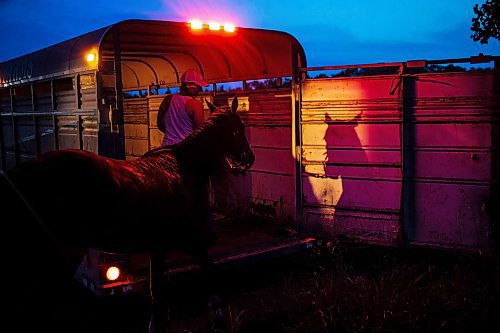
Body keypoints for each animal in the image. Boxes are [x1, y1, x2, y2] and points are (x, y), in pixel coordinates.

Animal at [1, 97, 254, 330]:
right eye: (240, 125)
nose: (249, 158)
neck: (182, 168)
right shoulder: (192, 237)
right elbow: (208, 271)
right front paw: (219, 315)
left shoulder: (158, 246)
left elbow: (156, 291)